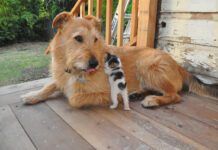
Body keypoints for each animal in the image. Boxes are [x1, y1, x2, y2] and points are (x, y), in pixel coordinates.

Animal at [20, 12, 218, 107]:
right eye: (78, 38)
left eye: (95, 39)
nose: (95, 64)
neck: (73, 68)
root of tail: (179, 66)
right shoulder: (61, 78)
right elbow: (50, 85)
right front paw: (32, 95)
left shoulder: (105, 90)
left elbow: (74, 98)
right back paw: (138, 93)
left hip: (146, 64)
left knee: (175, 96)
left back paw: (153, 100)